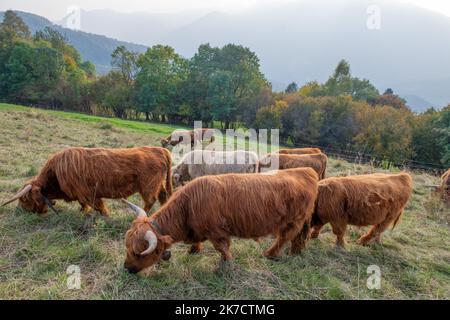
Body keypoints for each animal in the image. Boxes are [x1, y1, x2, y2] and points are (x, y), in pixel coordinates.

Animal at [1, 146, 172, 216]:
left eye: (24, 199)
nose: (22, 211)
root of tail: (160, 149)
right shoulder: (80, 194)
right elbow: (84, 204)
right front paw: (83, 211)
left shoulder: (89, 193)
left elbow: (99, 206)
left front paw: (105, 216)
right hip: (159, 184)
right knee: (163, 196)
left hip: (148, 185)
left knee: (150, 200)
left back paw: (142, 213)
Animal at [121, 166, 318, 274]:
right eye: (127, 248)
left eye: (138, 253)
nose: (126, 268)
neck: (188, 206)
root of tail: (306, 171)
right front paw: (194, 250)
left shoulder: (217, 232)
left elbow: (222, 248)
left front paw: (225, 265)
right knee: (297, 237)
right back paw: (294, 252)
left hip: (293, 220)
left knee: (285, 237)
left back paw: (270, 254)